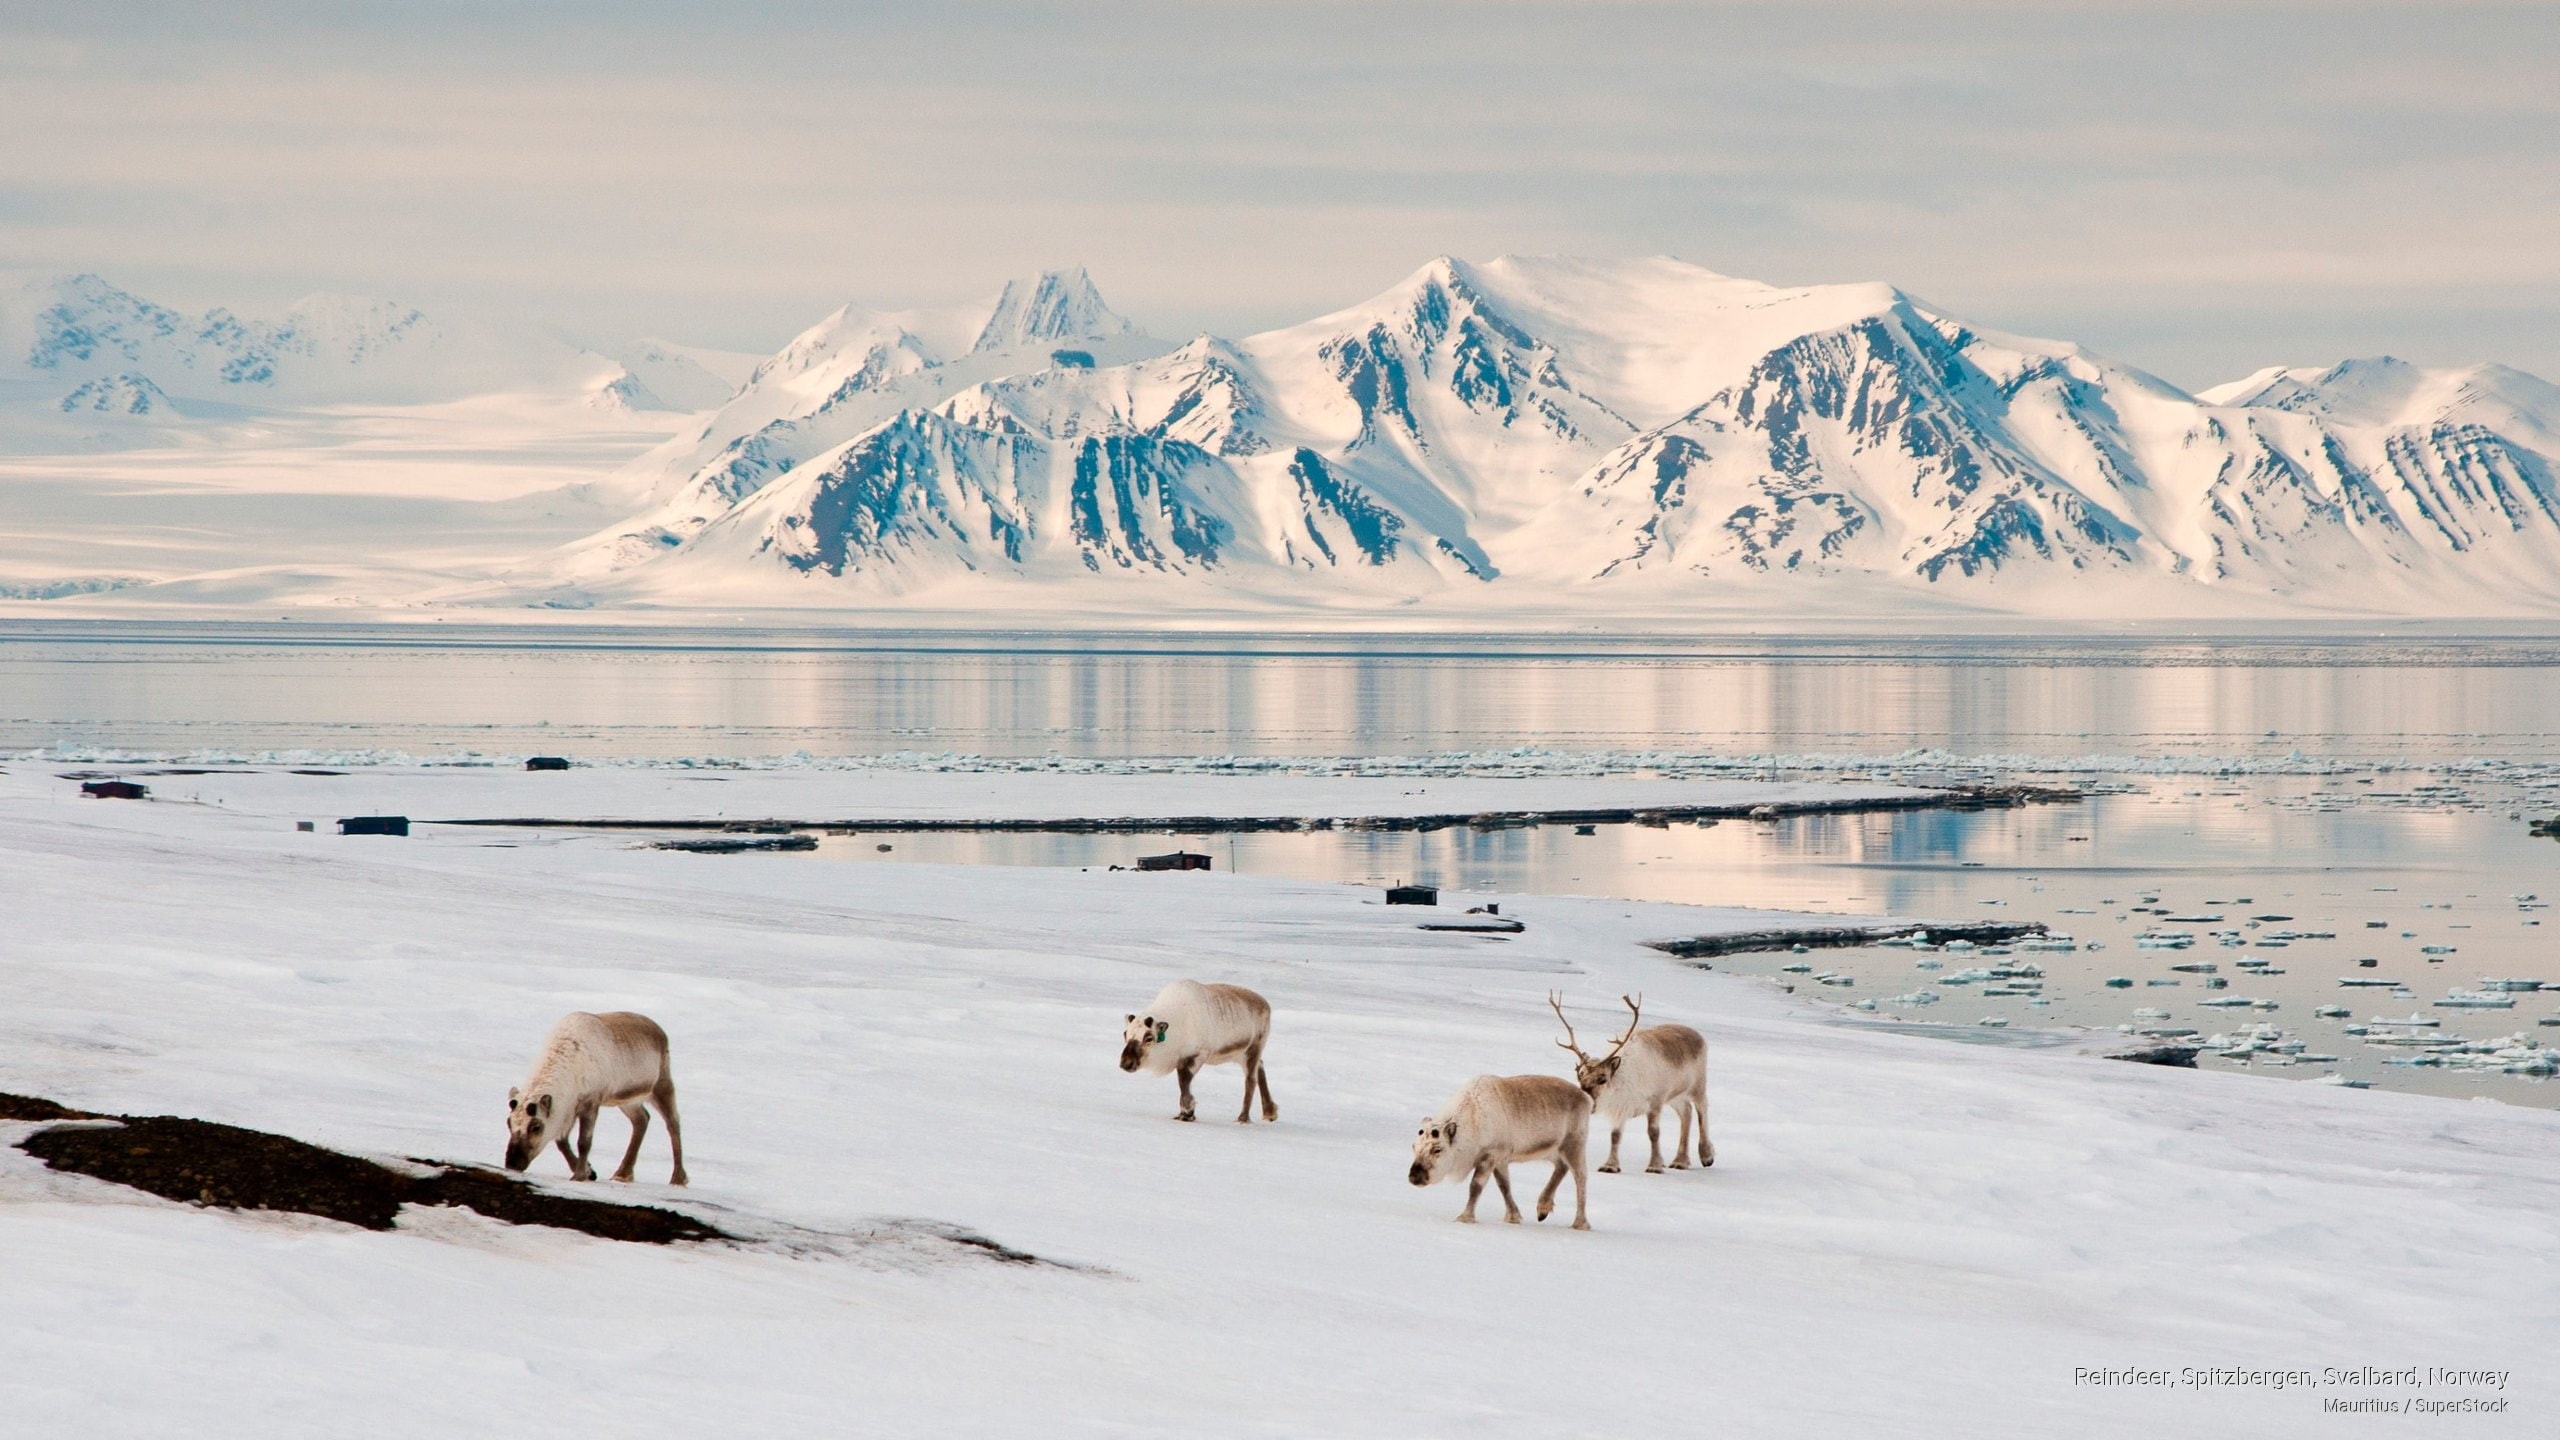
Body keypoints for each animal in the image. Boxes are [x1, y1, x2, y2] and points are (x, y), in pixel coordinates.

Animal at [504, 1011, 688, 1185]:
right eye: (509, 1123)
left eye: (536, 1127)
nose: (512, 1163)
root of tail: (660, 1032)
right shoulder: (569, 1109)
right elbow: (562, 1142)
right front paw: (589, 1172)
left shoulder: (590, 1102)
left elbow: (584, 1142)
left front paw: (579, 1176)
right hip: (628, 1100)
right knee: (642, 1119)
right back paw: (623, 1174)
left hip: (661, 1085)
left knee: (673, 1122)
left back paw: (678, 1178)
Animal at [1118, 980, 1278, 1123]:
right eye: (1125, 1034)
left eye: (1149, 1038)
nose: (1126, 1063)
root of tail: (1266, 1005)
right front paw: (1183, 1113)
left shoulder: (1198, 1054)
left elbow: (1184, 1080)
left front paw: (1188, 1111)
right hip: (1240, 1055)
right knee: (1261, 1066)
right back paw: (1270, 1112)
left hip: (1254, 1048)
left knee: (1250, 1079)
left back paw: (1243, 1118)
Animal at [1408, 1074, 1593, 1230]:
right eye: (1414, 1147)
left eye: (1437, 1149)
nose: (1414, 1176)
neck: (1471, 1123)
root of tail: (1586, 1098)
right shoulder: (1501, 1159)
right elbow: (1504, 1186)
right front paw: (1513, 1217)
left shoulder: (1491, 1154)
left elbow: (1476, 1186)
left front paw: (1465, 1217)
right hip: (1554, 1150)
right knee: (1561, 1167)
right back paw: (1543, 1208)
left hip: (1574, 1144)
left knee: (1580, 1176)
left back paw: (1580, 1223)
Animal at [1551, 991, 1711, 1175]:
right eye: (1580, 1076)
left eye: (1602, 1078)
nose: (1587, 1100)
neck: (1621, 1081)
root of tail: (1699, 1036)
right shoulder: (1621, 1107)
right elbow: (1615, 1135)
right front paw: (1610, 1165)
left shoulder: (1656, 1101)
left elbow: (1653, 1133)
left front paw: (1654, 1165)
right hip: (1675, 1096)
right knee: (1686, 1112)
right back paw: (1680, 1161)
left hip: (1698, 1085)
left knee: (1702, 1109)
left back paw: (1706, 1156)